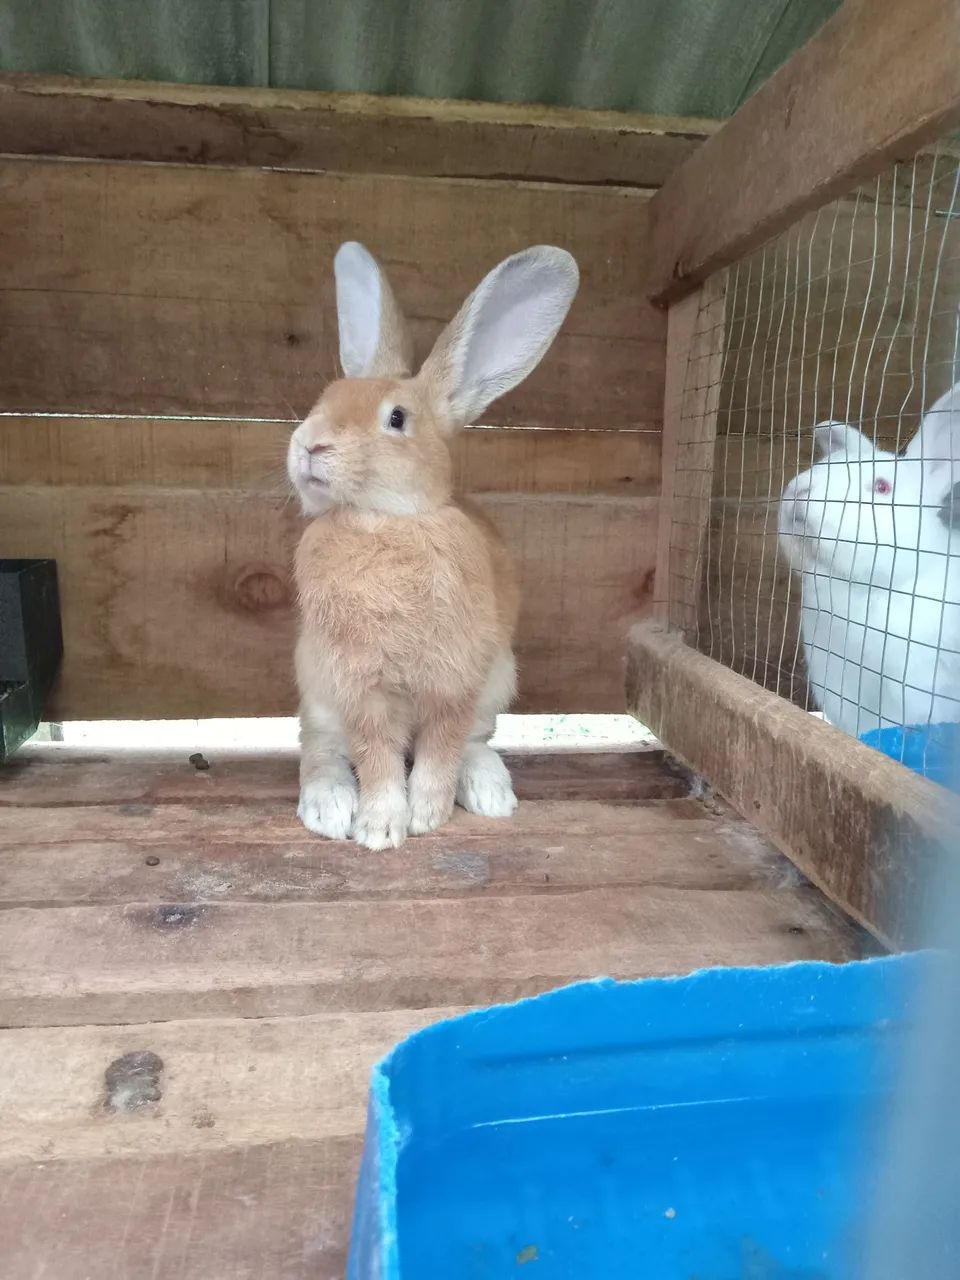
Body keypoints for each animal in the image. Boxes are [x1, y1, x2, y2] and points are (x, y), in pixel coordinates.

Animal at [287, 242, 579, 850]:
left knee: (473, 744)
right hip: (316, 691)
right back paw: (329, 808)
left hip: (497, 682)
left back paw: (491, 794)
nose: (308, 445)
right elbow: (375, 757)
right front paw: (379, 828)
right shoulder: (359, 687)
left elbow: (441, 749)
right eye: (325, 399)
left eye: (396, 418)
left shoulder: (456, 679)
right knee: (319, 750)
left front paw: (425, 815)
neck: (386, 521)